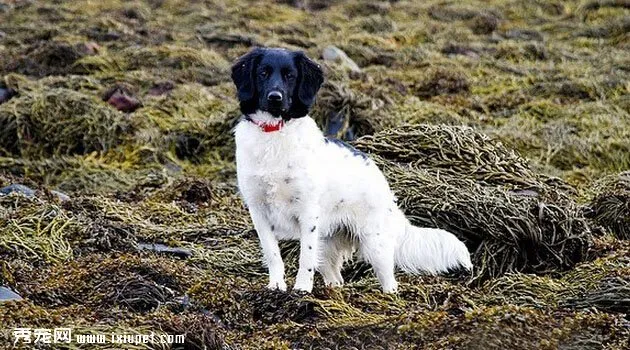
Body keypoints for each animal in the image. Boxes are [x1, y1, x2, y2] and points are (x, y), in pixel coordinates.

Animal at [233, 47, 474, 292]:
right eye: (263, 73)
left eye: (290, 76)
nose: (275, 97)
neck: (274, 134)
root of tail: (380, 178)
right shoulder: (259, 211)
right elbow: (273, 254)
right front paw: (276, 286)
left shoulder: (307, 213)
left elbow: (305, 258)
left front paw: (301, 289)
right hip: (328, 242)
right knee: (335, 276)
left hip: (375, 244)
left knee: (389, 280)